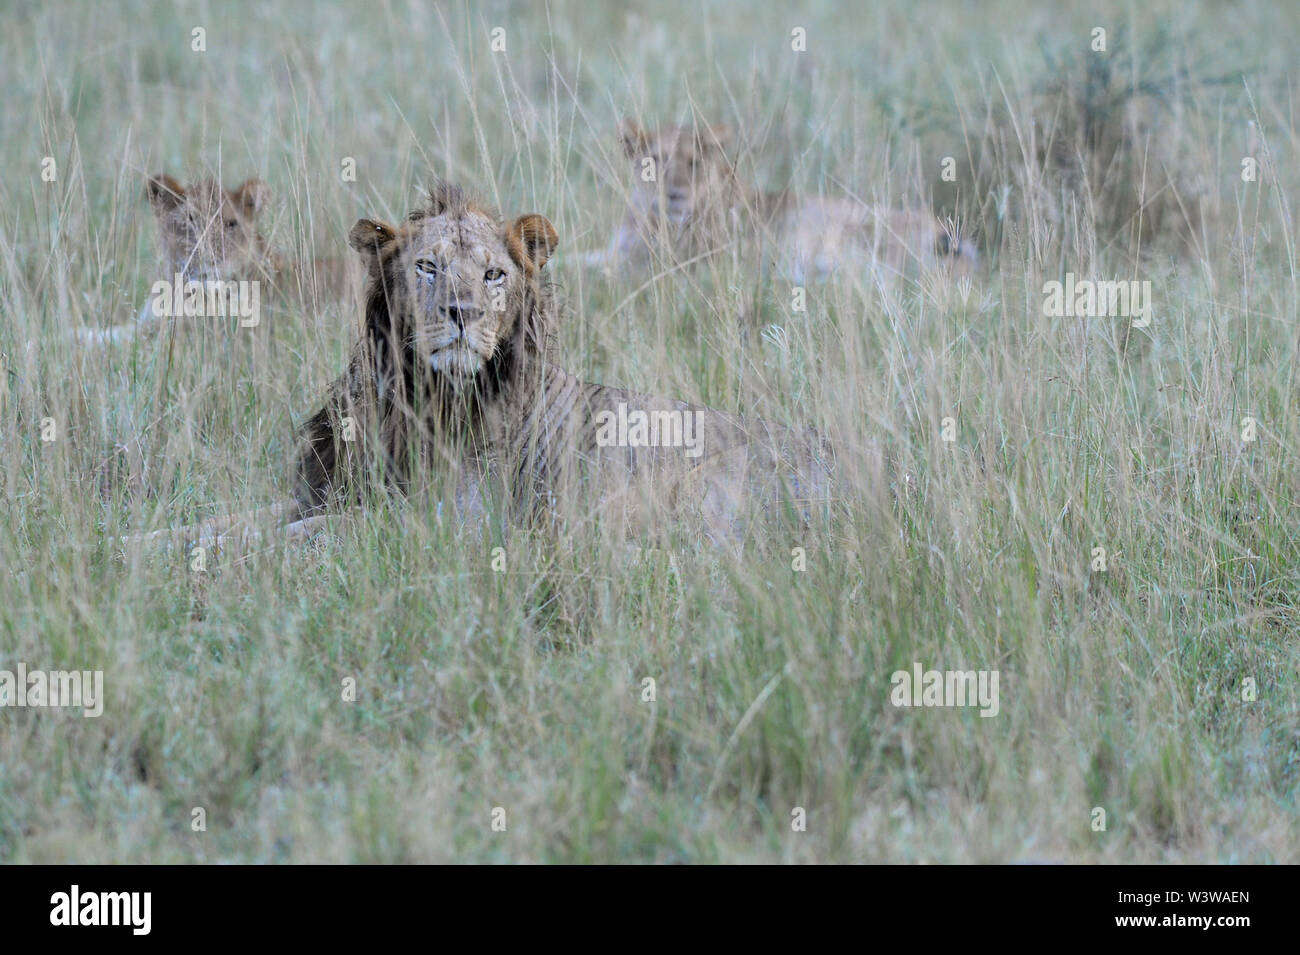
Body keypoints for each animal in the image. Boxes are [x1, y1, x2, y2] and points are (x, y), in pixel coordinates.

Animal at [129, 182, 834, 552]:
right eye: (426, 266)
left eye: (494, 275)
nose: (462, 311)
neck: (417, 396)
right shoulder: (331, 489)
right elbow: (235, 519)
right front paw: (138, 543)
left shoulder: (436, 522)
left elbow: (306, 535)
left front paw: (212, 556)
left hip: (696, 488)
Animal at [590, 120, 978, 284]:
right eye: (655, 160)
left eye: (694, 162)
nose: (675, 195)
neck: (646, 215)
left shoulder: (656, 266)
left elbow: (592, 269)